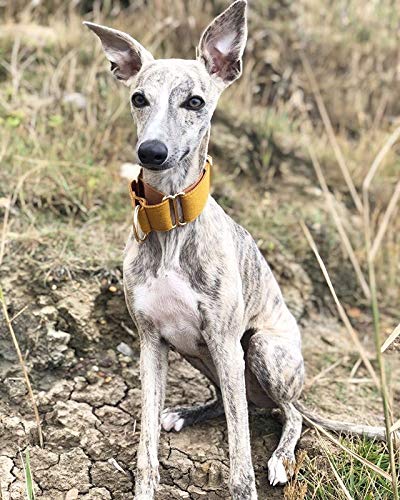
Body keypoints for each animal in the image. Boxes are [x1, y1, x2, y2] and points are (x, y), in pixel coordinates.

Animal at [86, 1, 396, 498]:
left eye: (194, 101)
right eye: (138, 98)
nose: (151, 152)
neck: (171, 220)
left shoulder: (224, 338)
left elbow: (239, 453)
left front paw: (246, 483)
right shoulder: (151, 342)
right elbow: (146, 444)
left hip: (259, 350)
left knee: (289, 413)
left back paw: (282, 457)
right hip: (204, 356)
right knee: (240, 404)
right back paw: (186, 413)